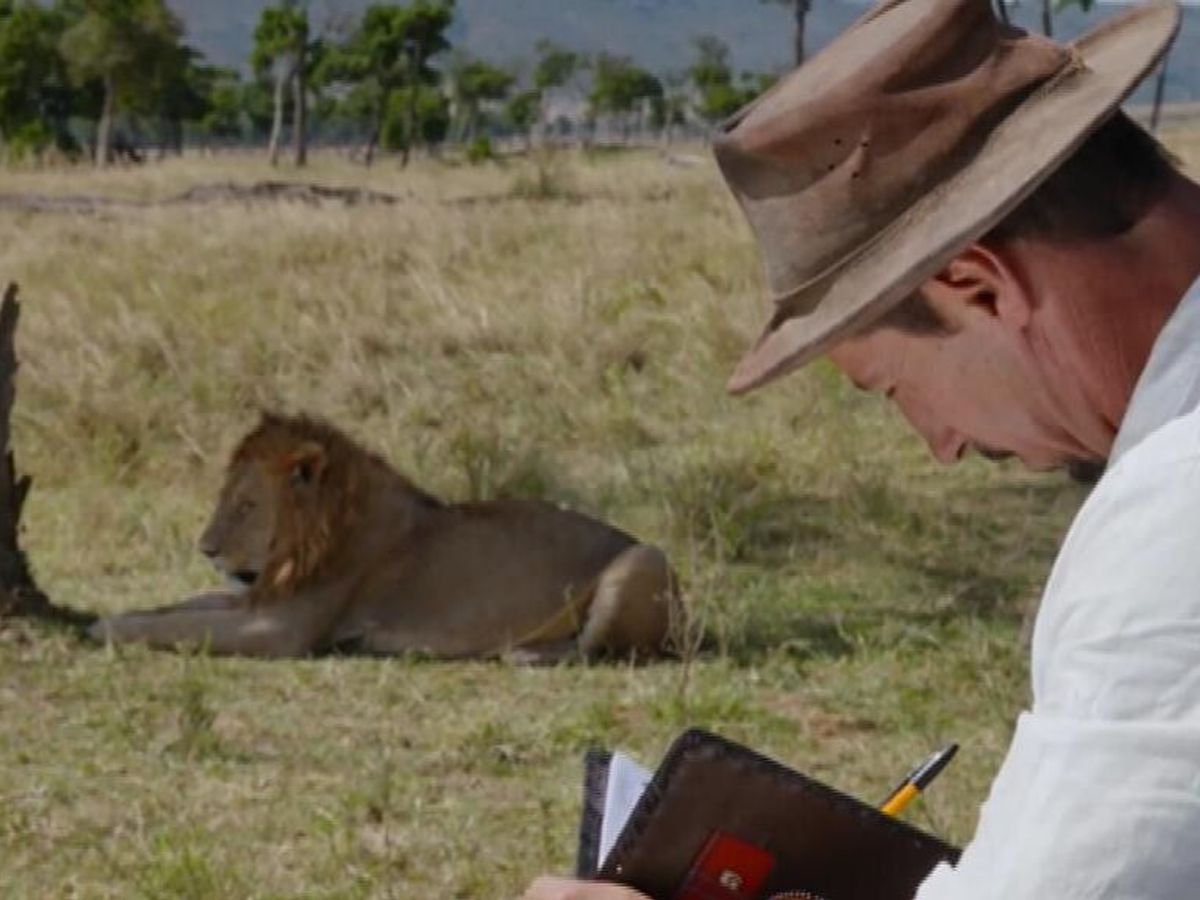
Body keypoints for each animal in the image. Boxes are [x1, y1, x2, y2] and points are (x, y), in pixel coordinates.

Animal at [88, 412, 681, 657]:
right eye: (226, 499)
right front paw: (110, 614)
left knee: (599, 649)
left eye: (247, 505)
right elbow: (182, 606)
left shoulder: (280, 630)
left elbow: (183, 626)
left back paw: (524, 654)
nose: (206, 549)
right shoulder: (259, 598)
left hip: (644, 559)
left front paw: (101, 628)